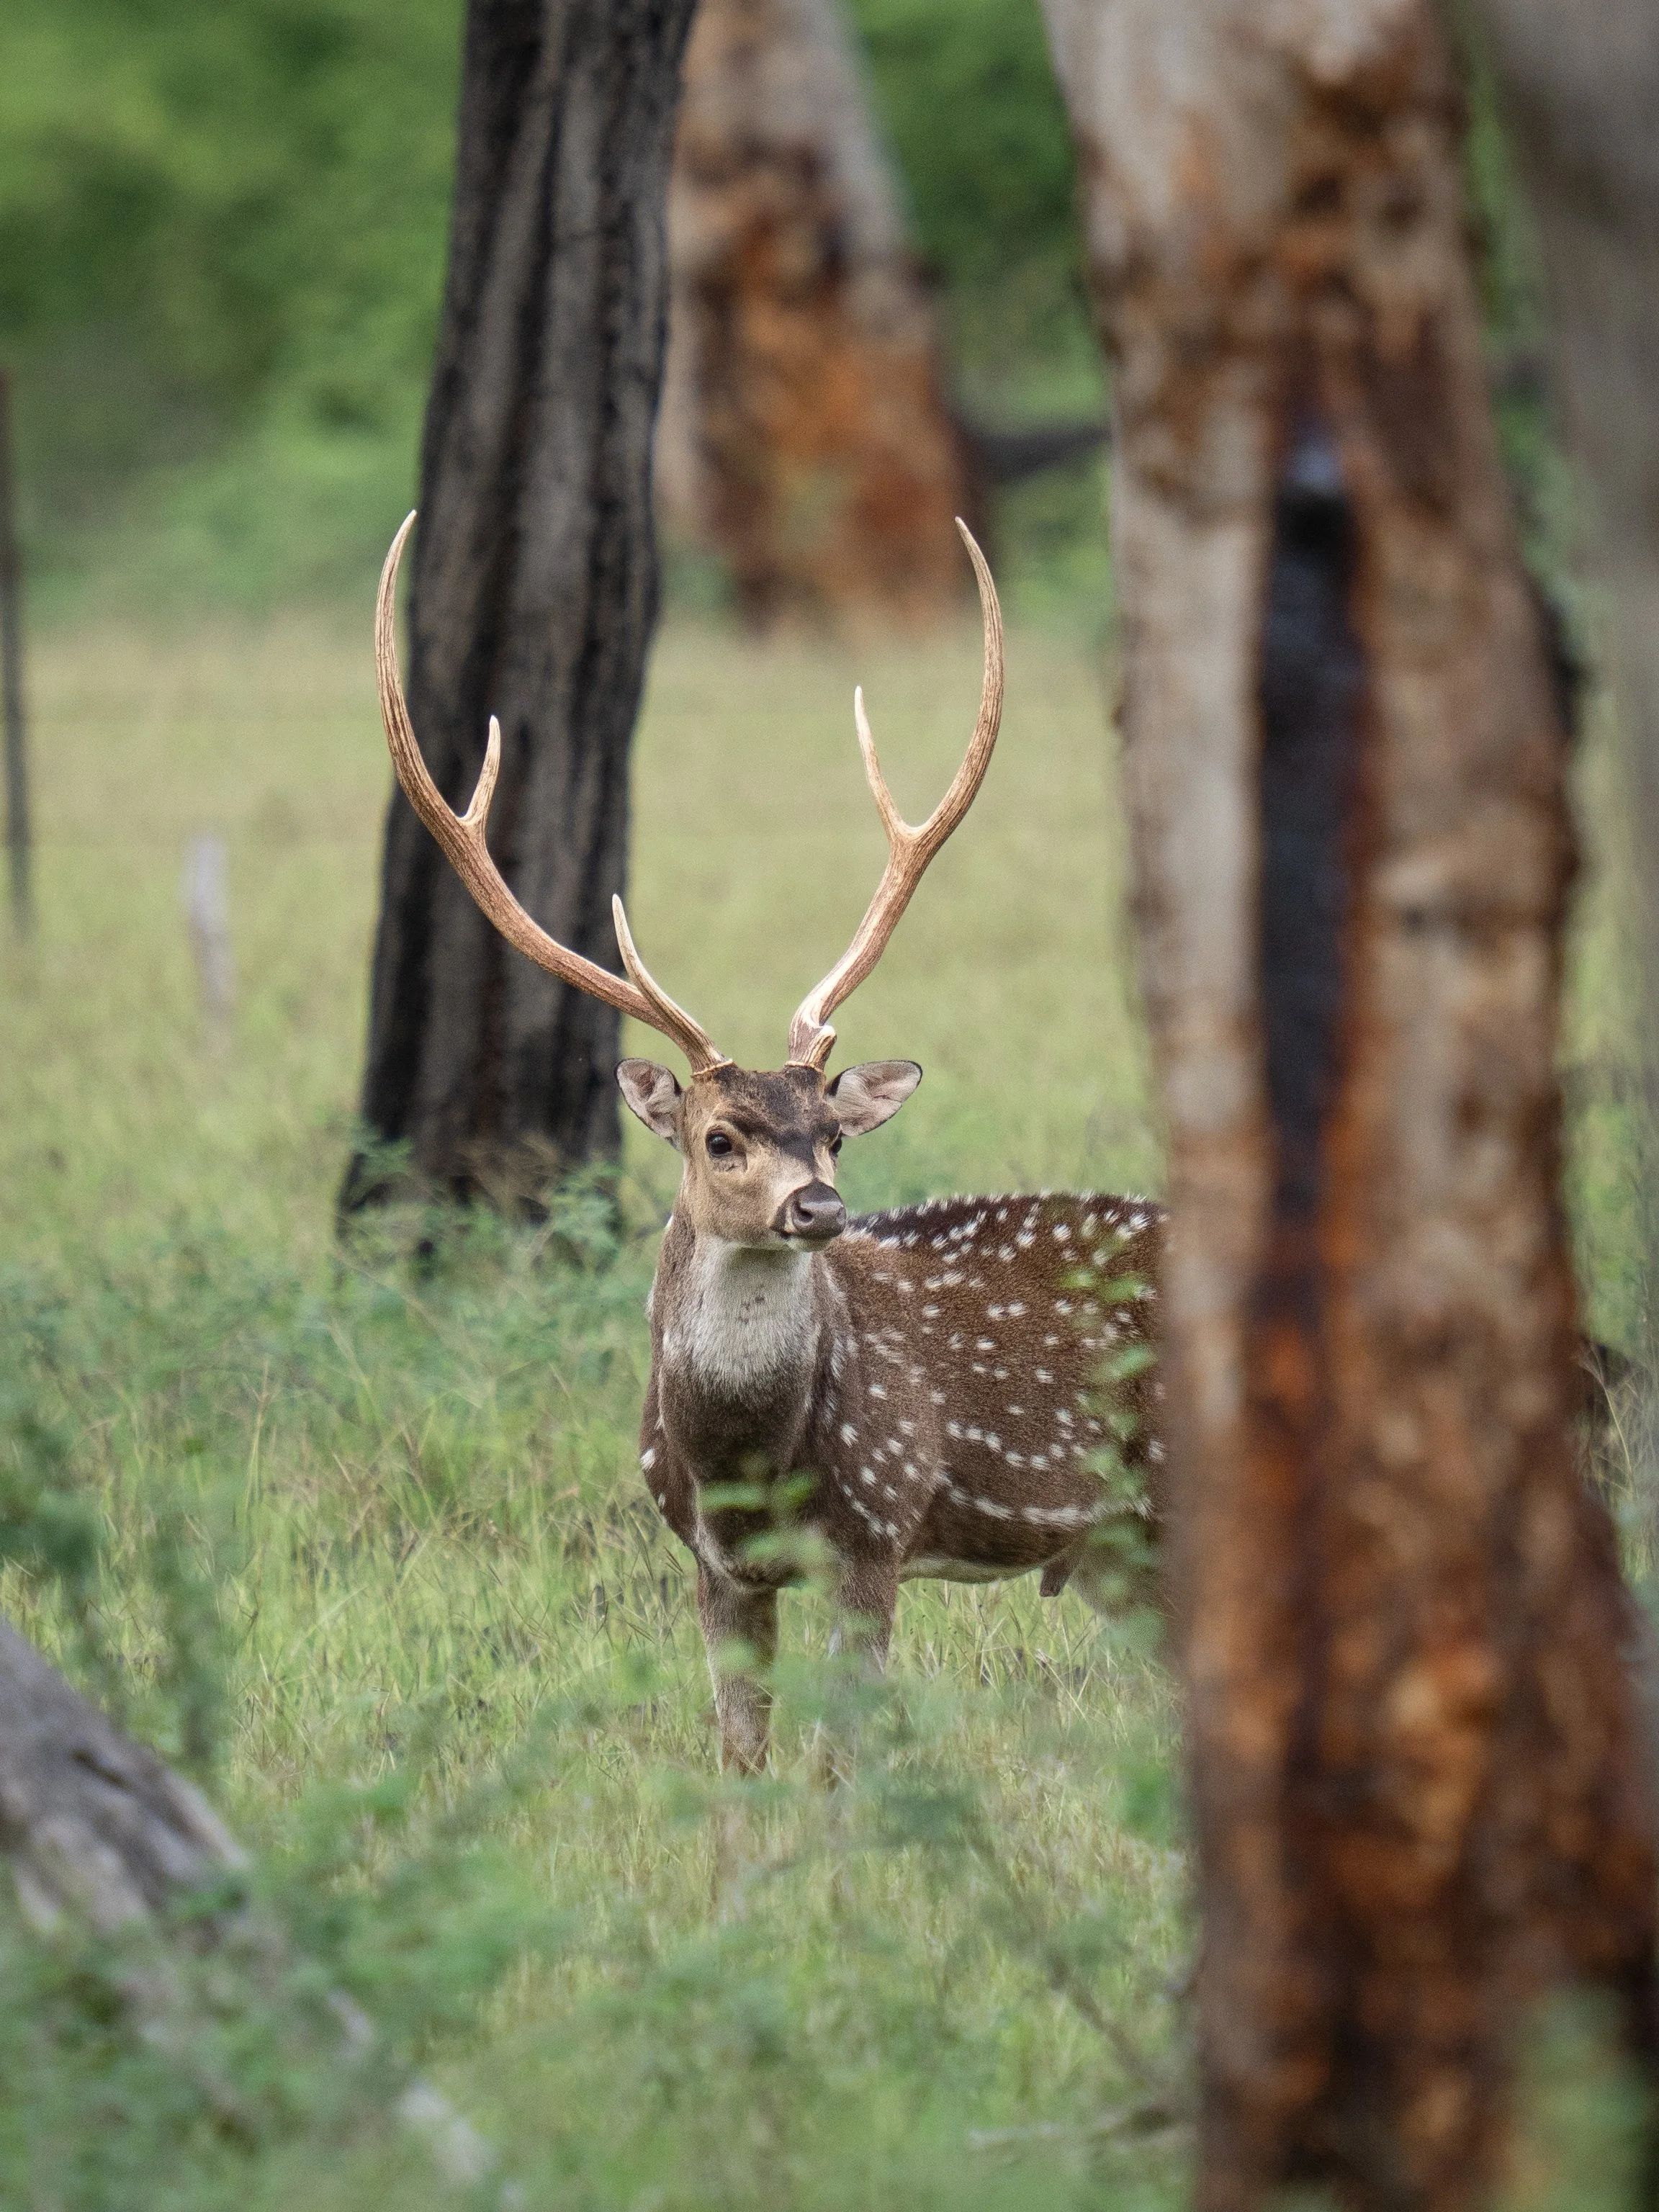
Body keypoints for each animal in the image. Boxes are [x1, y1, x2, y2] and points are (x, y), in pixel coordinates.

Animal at [374, 511, 1164, 1773]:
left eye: (832, 1132)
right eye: (719, 1136)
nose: (818, 1208)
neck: (746, 1460)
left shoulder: (880, 1523)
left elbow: (841, 1761)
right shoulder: (711, 1562)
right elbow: (740, 1759)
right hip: (1118, 1550)